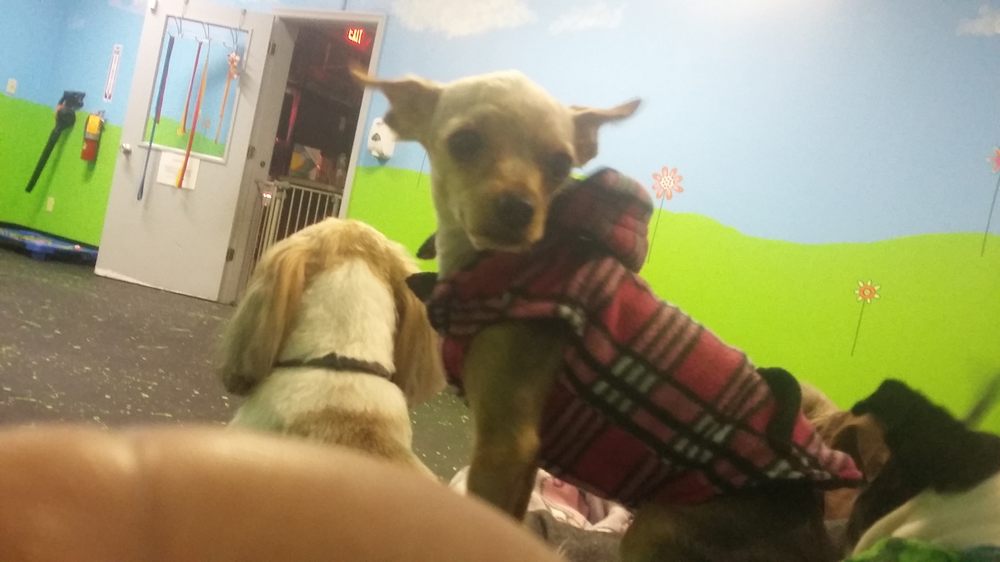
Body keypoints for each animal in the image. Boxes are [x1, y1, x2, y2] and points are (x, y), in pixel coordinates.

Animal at [355, 69, 862, 561]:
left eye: (561, 165)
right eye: (464, 142)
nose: (519, 209)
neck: (502, 268)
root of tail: (817, 536)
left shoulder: (504, 447)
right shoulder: (525, 458)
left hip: (654, 526)